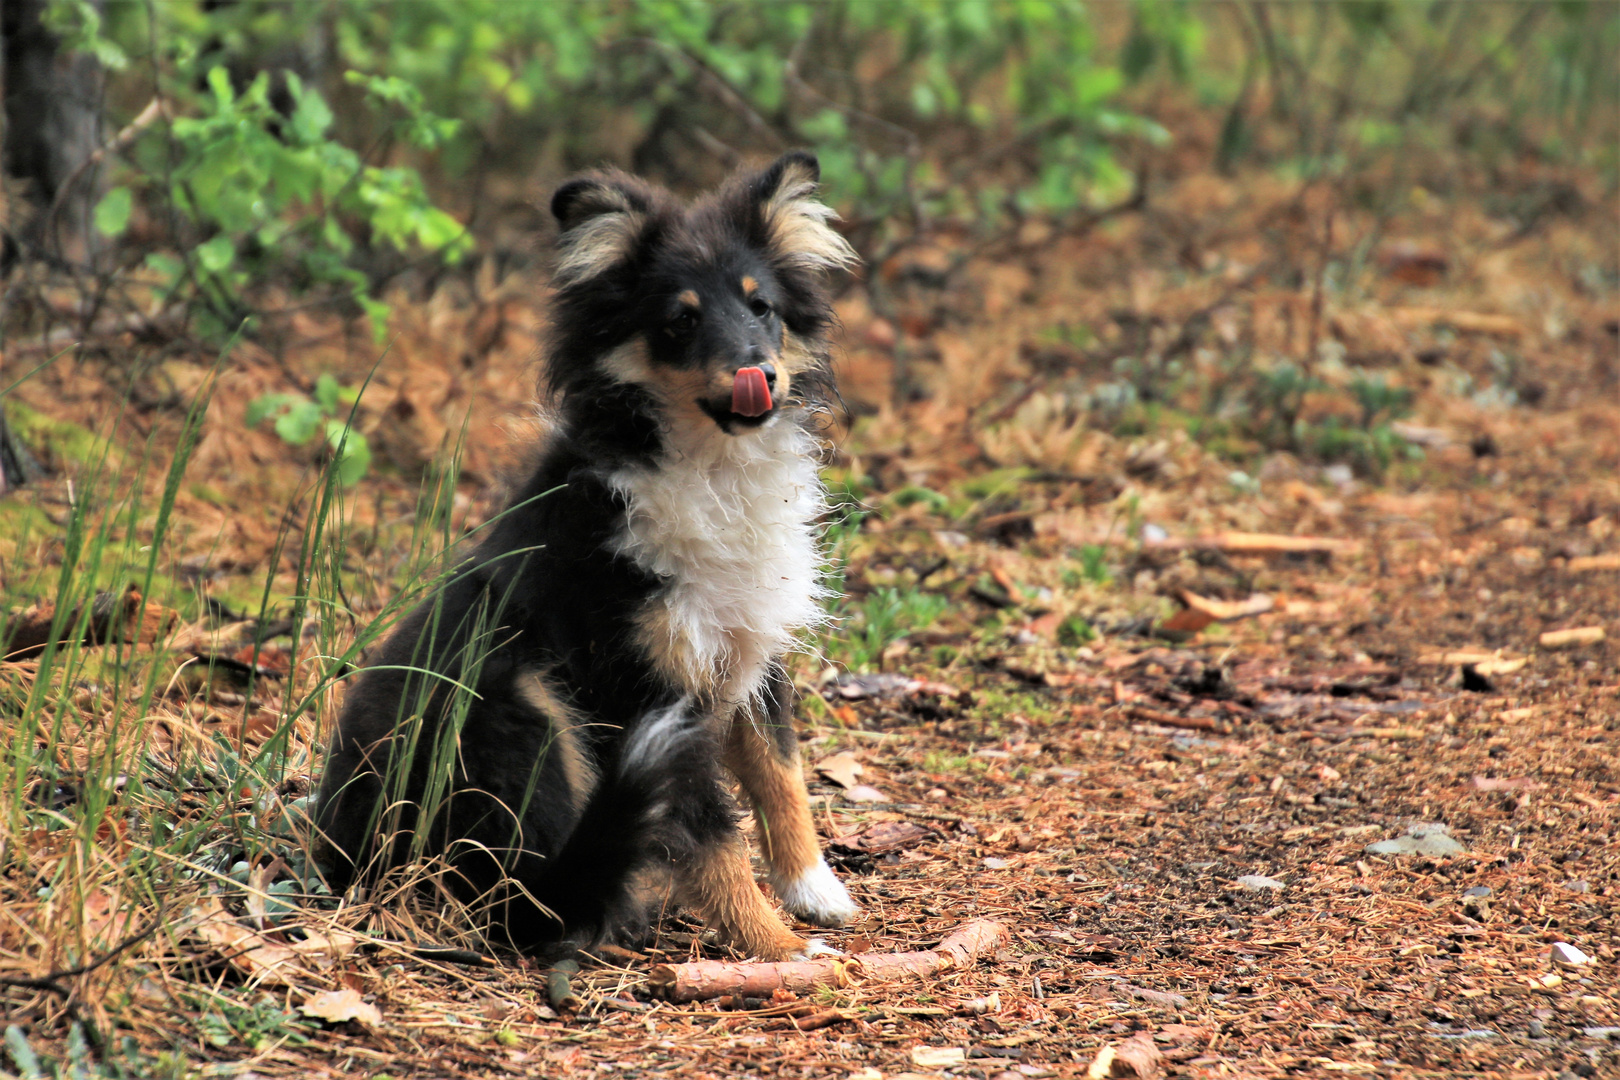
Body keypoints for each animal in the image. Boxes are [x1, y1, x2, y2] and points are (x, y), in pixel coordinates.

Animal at [312, 148, 861, 958]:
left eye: (761, 307)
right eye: (678, 322)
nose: (758, 375)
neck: (711, 467)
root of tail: (339, 861)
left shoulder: (749, 651)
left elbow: (780, 773)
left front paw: (815, 893)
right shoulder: (643, 684)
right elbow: (713, 831)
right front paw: (780, 949)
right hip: (513, 699)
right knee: (521, 900)